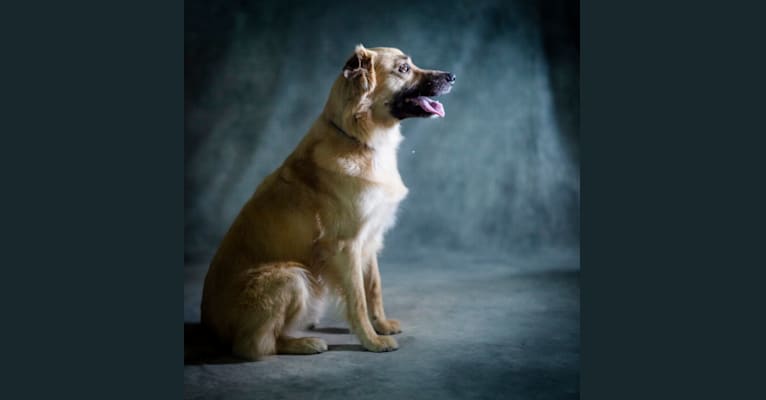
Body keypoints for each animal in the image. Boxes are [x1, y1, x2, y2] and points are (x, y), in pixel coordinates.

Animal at [201, 45, 460, 360]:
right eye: (403, 69)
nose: (452, 76)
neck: (358, 138)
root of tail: (208, 325)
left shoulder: (369, 239)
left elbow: (374, 288)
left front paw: (382, 325)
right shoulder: (346, 245)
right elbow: (357, 299)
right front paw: (372, 340)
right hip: (291, 277)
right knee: (255, 345)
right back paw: (304, 343)